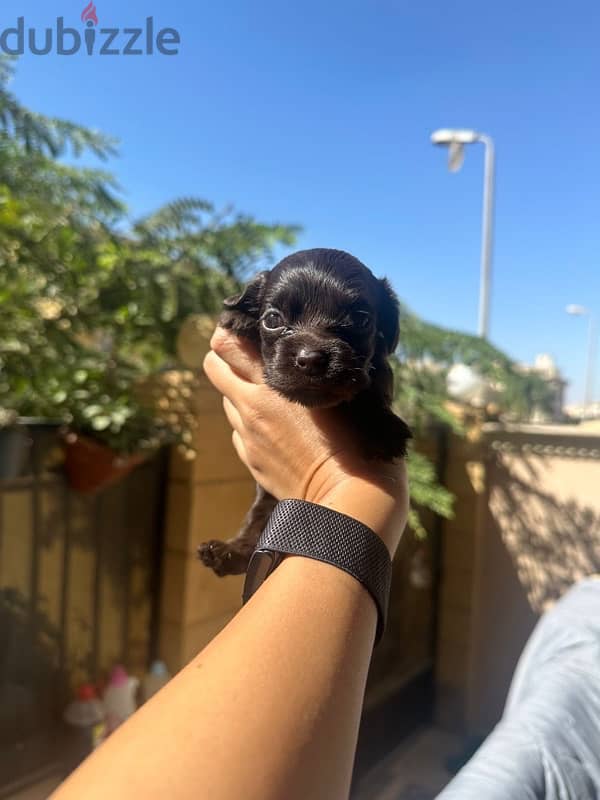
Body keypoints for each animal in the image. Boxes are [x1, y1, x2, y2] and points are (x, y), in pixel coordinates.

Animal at [199, 250, 410, 576]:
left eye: (361, 319)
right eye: (273, 319)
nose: (311, 359)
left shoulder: (379, 369)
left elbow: (372, 391)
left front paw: (382, 429)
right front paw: (240, 317)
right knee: (254, 529)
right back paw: (227, 552)